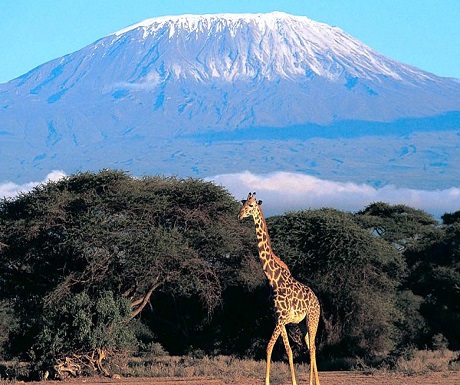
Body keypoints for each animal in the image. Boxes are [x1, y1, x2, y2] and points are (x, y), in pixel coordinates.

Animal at [239, 194, 322, 384]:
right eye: (243, 203)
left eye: (251, 205)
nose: (239, 215)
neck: (273, 279)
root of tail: (317, 301)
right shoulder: (279, 319)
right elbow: (288, 351)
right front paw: (291, 382)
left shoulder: (281, 319)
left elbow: (269, 347)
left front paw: (269, 381)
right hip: (302, 324)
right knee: (310, 346)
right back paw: (315, 381)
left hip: (312, 319)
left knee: (313, 348)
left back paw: (314, 382)